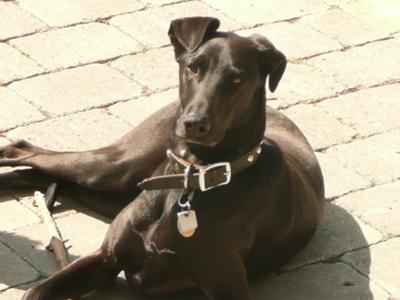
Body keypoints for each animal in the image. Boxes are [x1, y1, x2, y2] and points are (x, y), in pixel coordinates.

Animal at [0, 17, 324, 300]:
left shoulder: (227, 286)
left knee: (36, 168)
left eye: (237, 80)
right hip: (115, 168)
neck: (191, 178)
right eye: (193, 67)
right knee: (22, 150)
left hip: (110, 187)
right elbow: (35, 291)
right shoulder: (105, 259)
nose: (195, 123)